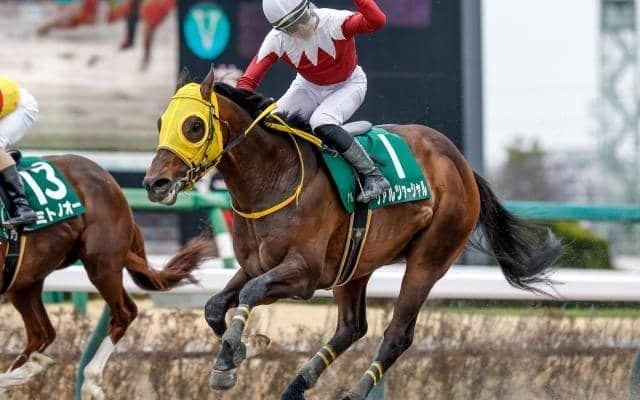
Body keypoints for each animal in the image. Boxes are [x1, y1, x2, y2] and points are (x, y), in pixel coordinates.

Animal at [0, 154, 209, 398]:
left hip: (102, 264)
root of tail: (107, 178)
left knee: (125, 312)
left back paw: (87, 379)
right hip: (25, 281)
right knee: (42, 333)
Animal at [143, 66, 561, 400]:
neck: (275, 177)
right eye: (161, 122)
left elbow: (249, 293)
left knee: (397, 335)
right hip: (355, 264)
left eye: (194, 126)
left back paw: (355, 391)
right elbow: (216, 305)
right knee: (351, 327)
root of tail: (460, 163)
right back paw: (297, 385)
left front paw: (232, 354)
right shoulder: (254, 265)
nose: (155, 183)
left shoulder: (304, 274)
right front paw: (231, 358)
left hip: (429, 257)